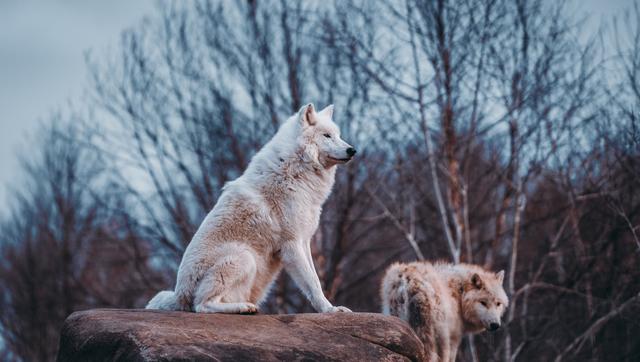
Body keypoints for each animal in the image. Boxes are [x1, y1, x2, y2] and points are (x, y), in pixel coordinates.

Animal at [146, 102, 356, 314]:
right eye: (327, 136)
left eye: (338, 135)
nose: (352, 150)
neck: (295, 170)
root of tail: (179, 295)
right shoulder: (292, 244)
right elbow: (313, 283)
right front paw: (330, 310)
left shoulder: (304, 241)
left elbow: (315, 278)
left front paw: (331, 307)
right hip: (244, 257)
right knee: (201, 305)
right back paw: (243, 307)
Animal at [380, 262, 510, 360]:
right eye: (483, 303)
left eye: (498, 304)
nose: (495, 325)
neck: (459, 293)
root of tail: (407, 280)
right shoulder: (454, 339)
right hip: (440, 337)